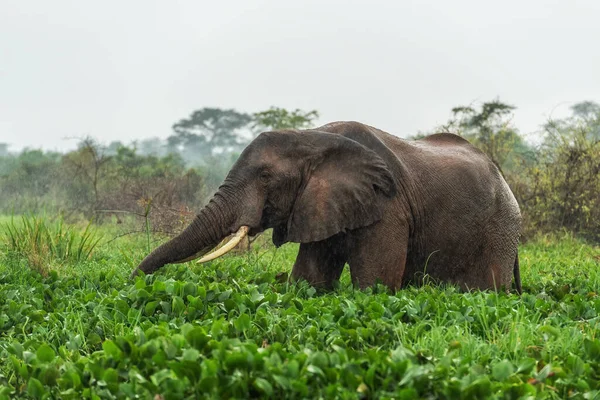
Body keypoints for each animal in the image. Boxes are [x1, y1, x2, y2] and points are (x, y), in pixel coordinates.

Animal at [130, 122, 520, 294]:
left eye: (266, 177)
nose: (132, 283)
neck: (312, 137)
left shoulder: (388, 206)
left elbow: (375, 287)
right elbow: (310, 280)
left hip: (500, 228)